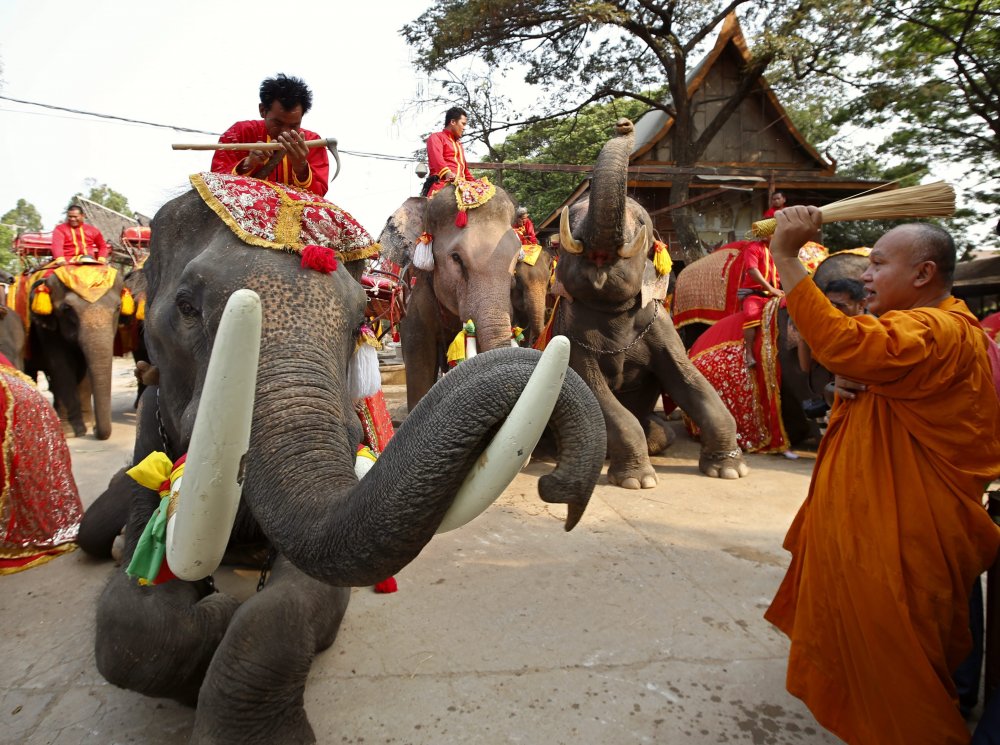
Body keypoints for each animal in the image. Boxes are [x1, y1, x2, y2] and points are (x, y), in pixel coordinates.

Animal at [28, 260, 123, 438]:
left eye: (118, 307)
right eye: (67, 309)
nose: (96, 430)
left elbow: (84, 368)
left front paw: (86, 425)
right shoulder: (47, 326)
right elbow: (61, 365)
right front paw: (71, 432)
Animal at [552, 117, 748, 488]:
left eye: (642, 223)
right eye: (572, 219)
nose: (624, 123)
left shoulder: (663, 329)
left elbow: (689, 380)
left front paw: (729, 470)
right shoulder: (570, 333)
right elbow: (595, 392)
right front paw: (637, 480)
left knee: (662, 435)